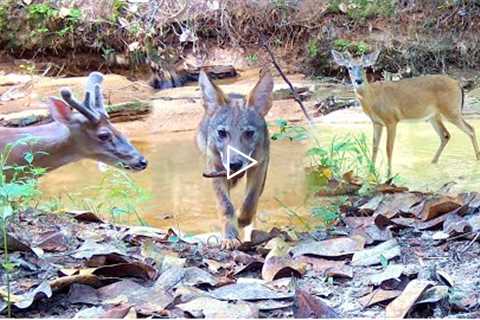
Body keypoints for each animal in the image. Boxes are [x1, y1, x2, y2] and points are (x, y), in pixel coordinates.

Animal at [332, 49, 478, 178]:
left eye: (363, 67)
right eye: (349, 67)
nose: (358, 80)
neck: (373, 98)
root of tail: (458, 84)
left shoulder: (391, 119)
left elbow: (388, 148)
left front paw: (388, 175)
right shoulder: (376, 122)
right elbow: (374, 147)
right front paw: (370, 173)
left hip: (451, 110)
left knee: (470, 129)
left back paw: (476, 159)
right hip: (433, 116)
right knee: (446, 135)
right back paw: (432, 162)